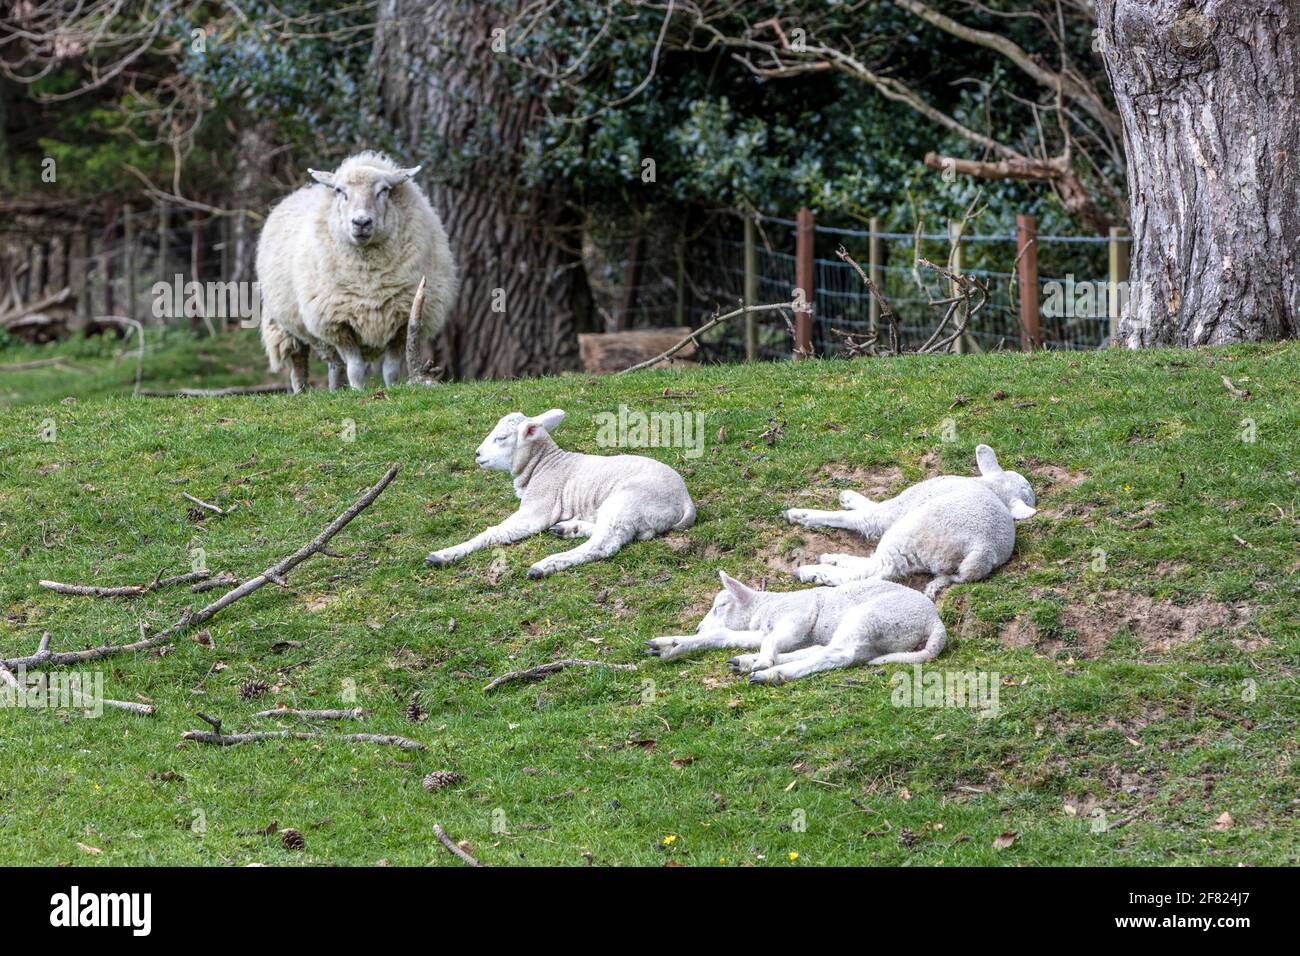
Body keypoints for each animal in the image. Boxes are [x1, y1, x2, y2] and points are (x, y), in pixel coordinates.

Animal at [256, 150, 456, 391]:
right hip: (284, 326)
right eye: (340, 191)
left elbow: (390, 370)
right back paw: (302, 391)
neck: (369, 279)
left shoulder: (401, 321)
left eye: (384, 190)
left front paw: (391, 389)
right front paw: (358, 391)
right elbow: (356, 368)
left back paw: (335, 390)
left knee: (335, 365)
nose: (361, 222)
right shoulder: (337, 322)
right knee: (299, 364)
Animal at [425, 409, 696, 578]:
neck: (542, 465)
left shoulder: (538, 507)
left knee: (603, 545)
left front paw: (444, 554)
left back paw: (544, 566)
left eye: (501, 438)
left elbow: (495, 533)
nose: (478, 454)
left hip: (628, 501)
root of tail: (686, 502)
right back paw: (568, 528)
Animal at [645, 571, 947, 685]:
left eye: (720, 605)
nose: (698, 629)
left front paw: (764, 662)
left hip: (872, 616)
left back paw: (771, 672)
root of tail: (935, 623)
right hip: (877, 635)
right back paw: (747, 662)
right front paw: (672, 644)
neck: (765, 606)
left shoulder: (798, 616)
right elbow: (727, 635)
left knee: (837, 655)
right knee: (825, 651)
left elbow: (770, 641)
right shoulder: (767, 629)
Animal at [783, 444, 1037, 598]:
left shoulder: (900, 507)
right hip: (922, 554)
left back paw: (815, 571)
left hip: (911, 532)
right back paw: (833, 559)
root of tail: (982, 552)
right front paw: (848, 496)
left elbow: (862, 517)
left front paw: (800, 515)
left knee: (876, 569)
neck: (992, 487)